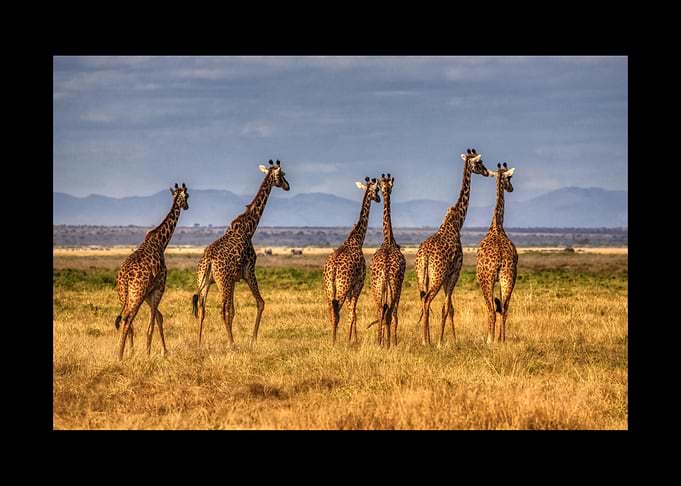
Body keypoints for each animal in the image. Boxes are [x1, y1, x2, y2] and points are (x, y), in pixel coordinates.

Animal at [114, 183, 189, 360]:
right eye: (188, 196)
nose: (187, 206)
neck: (161, 242)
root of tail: (124, 278)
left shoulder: (149, 292)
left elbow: (159, 318)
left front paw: (162, 351)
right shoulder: (159, 286)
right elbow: (152, 324)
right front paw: (149, 354)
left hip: (124, 295)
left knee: (127, 321)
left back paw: (128, 352)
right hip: (136, 294)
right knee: (127, 320)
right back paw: (120, 356)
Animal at [192, 160, 290, 347]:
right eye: (282, 175)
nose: (288, 186)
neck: (249, 229)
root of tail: (208, 261)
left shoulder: (234, 279)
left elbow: (233, 310)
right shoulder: (249, 271)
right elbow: (260, 303)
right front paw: (253, 340)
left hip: (205, 282)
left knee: (202, 309)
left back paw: (200, 343)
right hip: (223, 281)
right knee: (222, 310)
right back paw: (232, 344)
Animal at [323, 177, 381, 345]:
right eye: (377, 190)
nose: (379, 199)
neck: (356, 240)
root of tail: (333, 268)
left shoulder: (351, 287)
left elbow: (352, 313)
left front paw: (352, 338)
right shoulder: (358, 283)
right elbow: (353, 313)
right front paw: (351, 340)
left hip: (329, 289)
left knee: (331, 313)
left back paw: (333, 340)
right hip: (342, 287)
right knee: (337, 313)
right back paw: (334, 342)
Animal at [415, 148, 490, 346]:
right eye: (479, 163)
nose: (487, 172)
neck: (457, 222)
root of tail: (425, 255)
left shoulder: (447, 275)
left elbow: (448, 307)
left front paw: (446, 339)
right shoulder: (455, 270)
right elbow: (448, 307)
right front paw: (446, 341)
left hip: (422, 276)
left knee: (423, 301)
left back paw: (426, 339)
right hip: (437, 275)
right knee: (427, 300)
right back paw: (426, 341)